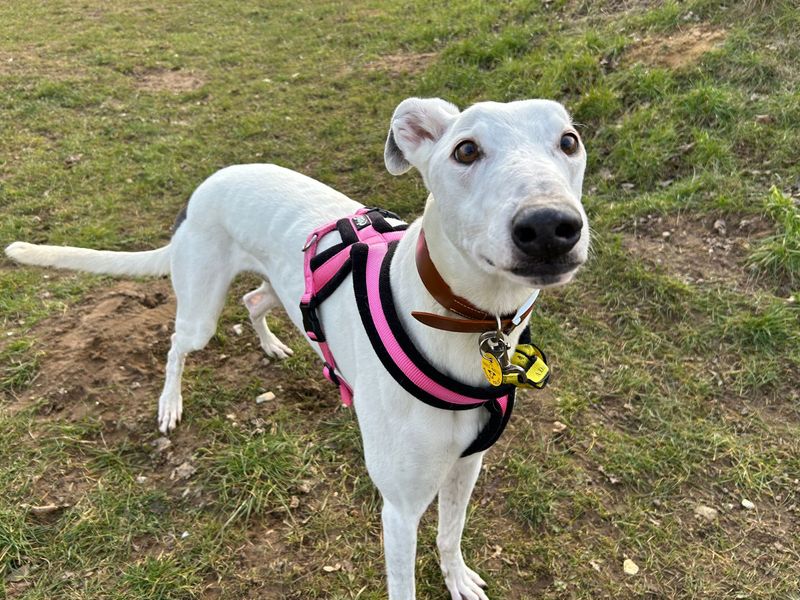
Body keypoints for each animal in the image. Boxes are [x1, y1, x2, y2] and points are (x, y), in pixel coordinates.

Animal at [6, 96, 588, 596]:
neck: (471, 326)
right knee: (177, 344)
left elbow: (450, 534)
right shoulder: (399, 507)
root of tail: (204, 186)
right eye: (465, 150)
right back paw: (169, 404)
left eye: (568, 141)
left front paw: (458, 579)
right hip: (200, 310)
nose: (549, 226)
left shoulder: (467, 466)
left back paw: (270, 345)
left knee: (254, 300)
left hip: (279, 287)